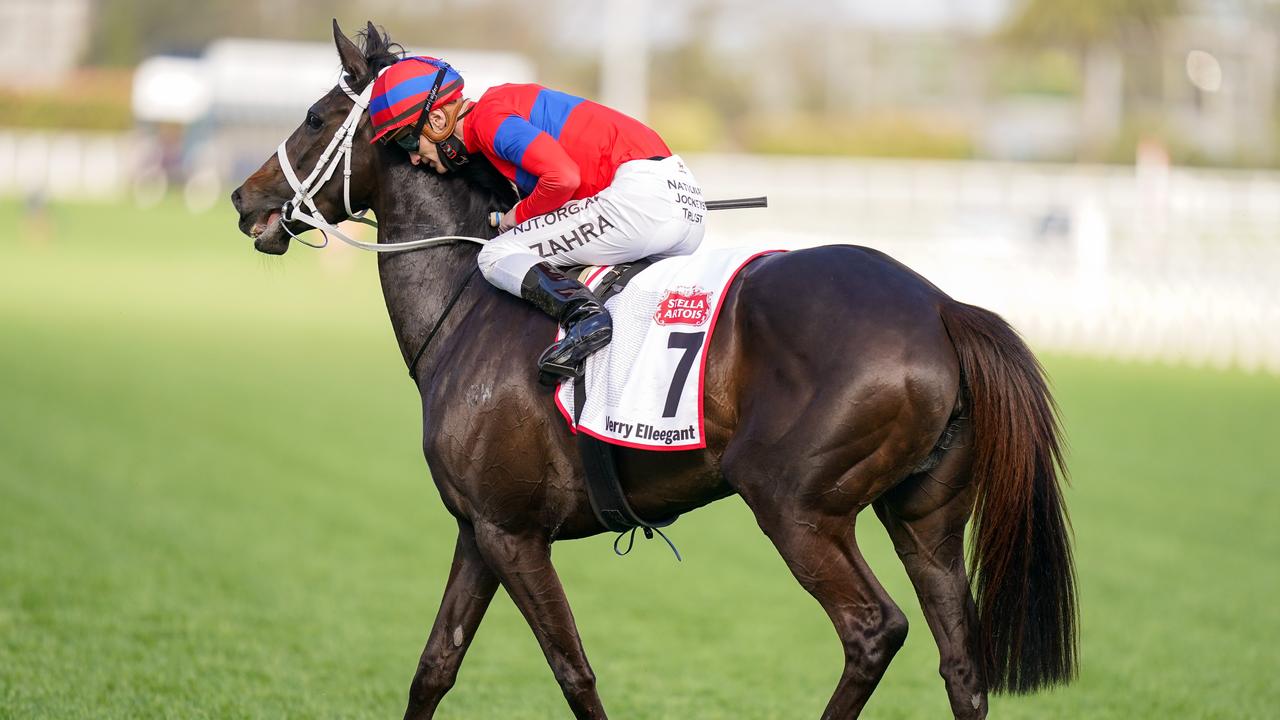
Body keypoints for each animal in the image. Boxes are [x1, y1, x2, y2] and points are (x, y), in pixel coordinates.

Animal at [232, 22, 1080, 717]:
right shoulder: (478, 529)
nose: (245, 198)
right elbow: (435, 666)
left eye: (314, 117)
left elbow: (572, 670)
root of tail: (940, 305)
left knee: (873, 630)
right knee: (961, 664)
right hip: (924, 519)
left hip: (797, 506)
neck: (467, 302)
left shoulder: (513, 533)